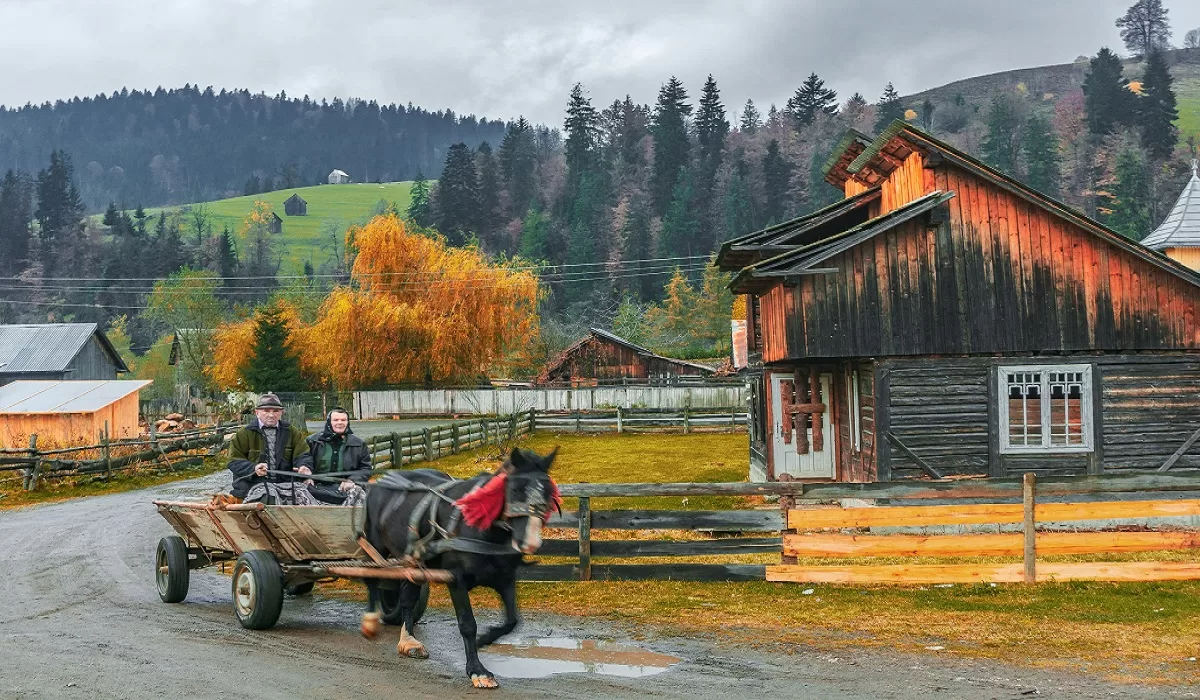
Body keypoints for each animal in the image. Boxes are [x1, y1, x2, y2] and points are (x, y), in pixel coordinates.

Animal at [357, 446, 559, 686]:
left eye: (549, 491)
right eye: (515, 489)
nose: (530, 542)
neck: (480, 527)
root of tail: (379, 482)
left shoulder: (505, 579)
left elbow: (512, 621)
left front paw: (484, 639)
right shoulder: (456, 579)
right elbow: (467, 624)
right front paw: (477, 670)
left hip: (413, 561)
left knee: (407, 598)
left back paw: (409, 640)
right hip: (374, 547)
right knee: (372, 580)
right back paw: (370, 620)